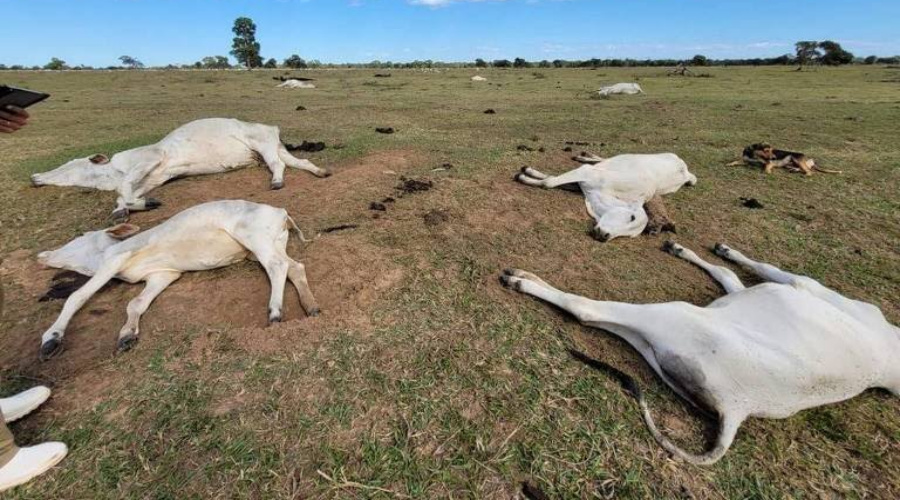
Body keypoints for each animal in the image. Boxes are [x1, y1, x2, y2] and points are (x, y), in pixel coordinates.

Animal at [32, 118, 334, 220]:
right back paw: (320, 172)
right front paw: (127, 209)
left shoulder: (152, 157)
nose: (35, 176)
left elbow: (125, 188)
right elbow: (126, 195)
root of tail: (271, 127)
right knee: (298, 162)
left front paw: (134, 205)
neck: (113, 170)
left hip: (263, 145)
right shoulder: (154, 177)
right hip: (271, 147)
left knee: (278, 165)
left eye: (71, 165)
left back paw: (277, 182)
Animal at [36, 199, 324, 360]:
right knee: (295, 267)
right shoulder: (163, 275)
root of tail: (280, 212)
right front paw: (127, 335)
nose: (43, 255)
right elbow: (136, 304)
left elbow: (77, 296)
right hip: (269, 245)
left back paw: (275, 312)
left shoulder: (115, 259)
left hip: (255, 238)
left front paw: (51, 338)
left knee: (278, 266)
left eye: (79, 237)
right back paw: (311, 306)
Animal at [500, 242, 900, 464]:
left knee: (586, 309)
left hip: (673, 315)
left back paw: (521, 280)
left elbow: (758, 269)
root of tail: (739, 409)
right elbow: (728, 275)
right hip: (657, 344)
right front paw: (693, 249)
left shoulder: (803, 284)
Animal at [512, 154, 696, 242]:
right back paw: (583, 155)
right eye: (632, 217)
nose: (605, 235)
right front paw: (524, 175)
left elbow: (551, 178)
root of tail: (686, 171)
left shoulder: (581, 183)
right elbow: (549, 182)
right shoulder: (587, 173)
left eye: (630, 235)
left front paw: (528, 173)